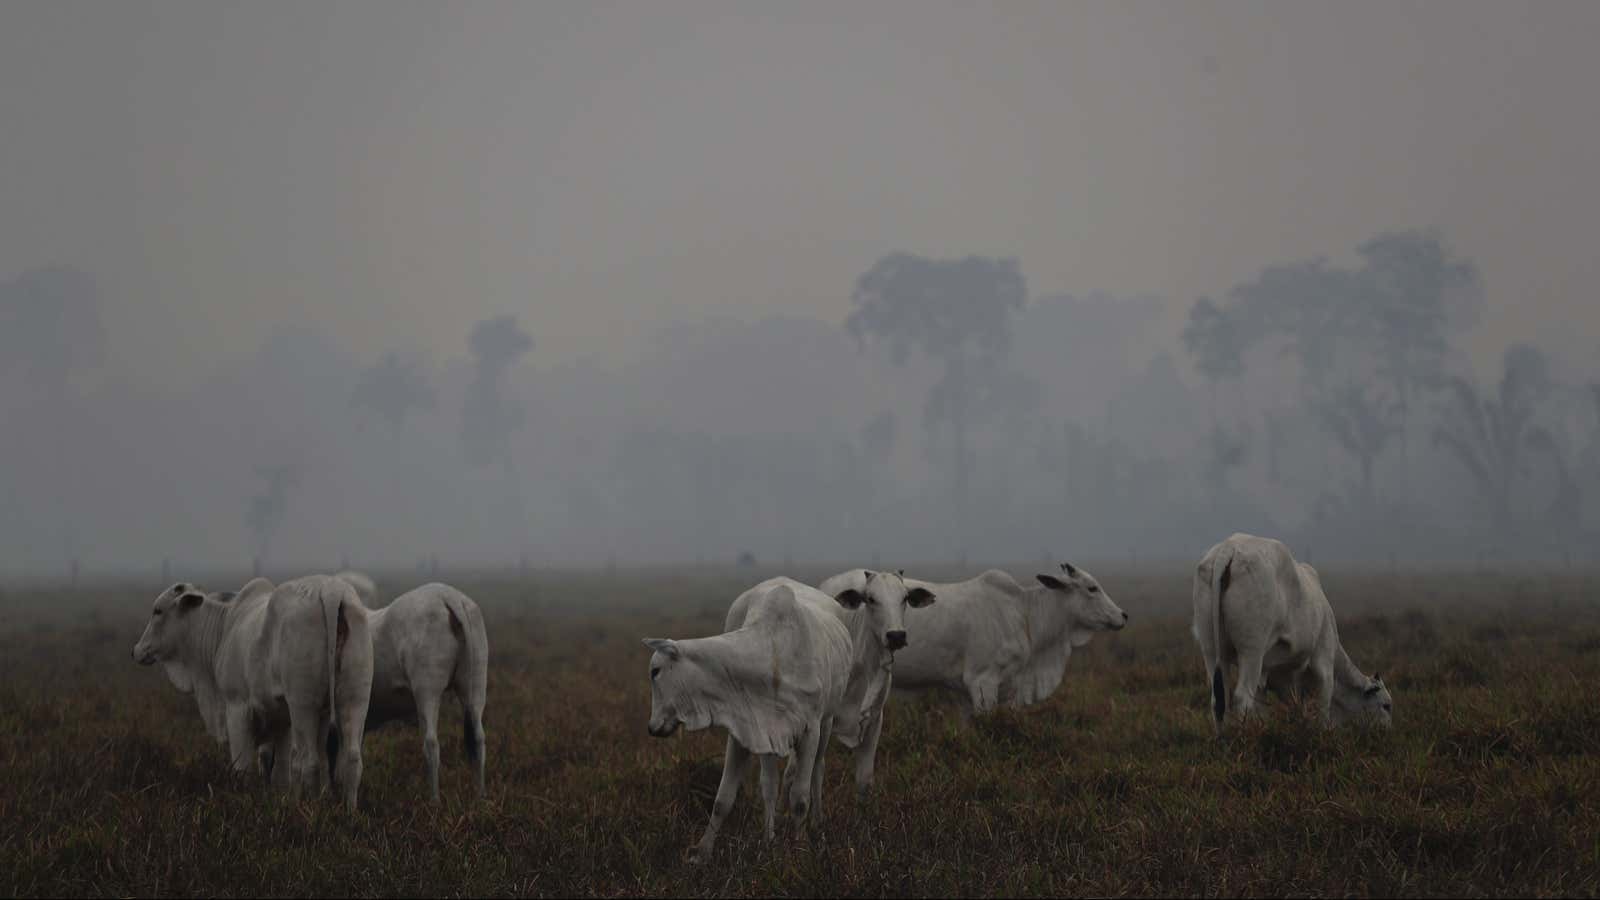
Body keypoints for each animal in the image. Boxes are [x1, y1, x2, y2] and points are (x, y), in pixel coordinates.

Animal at [131, 573, 374, 807]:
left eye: (158, 610)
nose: (136, 650)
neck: (223, 628)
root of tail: (332, 590)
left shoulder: (236, 707)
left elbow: (243, 768)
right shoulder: (283, 719)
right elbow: (280, 772)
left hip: (302, 705)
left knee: (309, 762)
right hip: (354, 699)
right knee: (350, 760)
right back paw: (348, 811)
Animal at [332, 570, 483, 794]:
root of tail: (449, 597)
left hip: (426, 689)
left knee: (431, 744)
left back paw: (434, 798)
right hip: (475, 684)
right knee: (478, 738)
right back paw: (481, 795)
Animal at [1196, 531, 1395, 730]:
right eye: (1386, 705)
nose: (1388, 730)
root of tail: (1229, 548)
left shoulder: (1269, 679)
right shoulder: (1324, 664)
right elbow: (1323, 710)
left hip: (1212, 650)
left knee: (1219, 699)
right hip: (1251, 652)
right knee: (1242, 698)